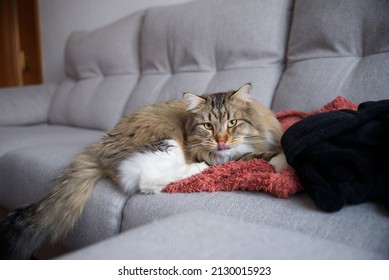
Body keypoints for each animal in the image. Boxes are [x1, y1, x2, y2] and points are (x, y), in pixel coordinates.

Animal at [0, 83, 284, 260]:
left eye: (232, 123)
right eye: (207, 126)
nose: (222, 141)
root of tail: (97, 147)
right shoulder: (221, 155)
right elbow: (261, 156)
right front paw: (281, 162)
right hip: (166, 142)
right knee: (145, 180)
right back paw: (196, 169)